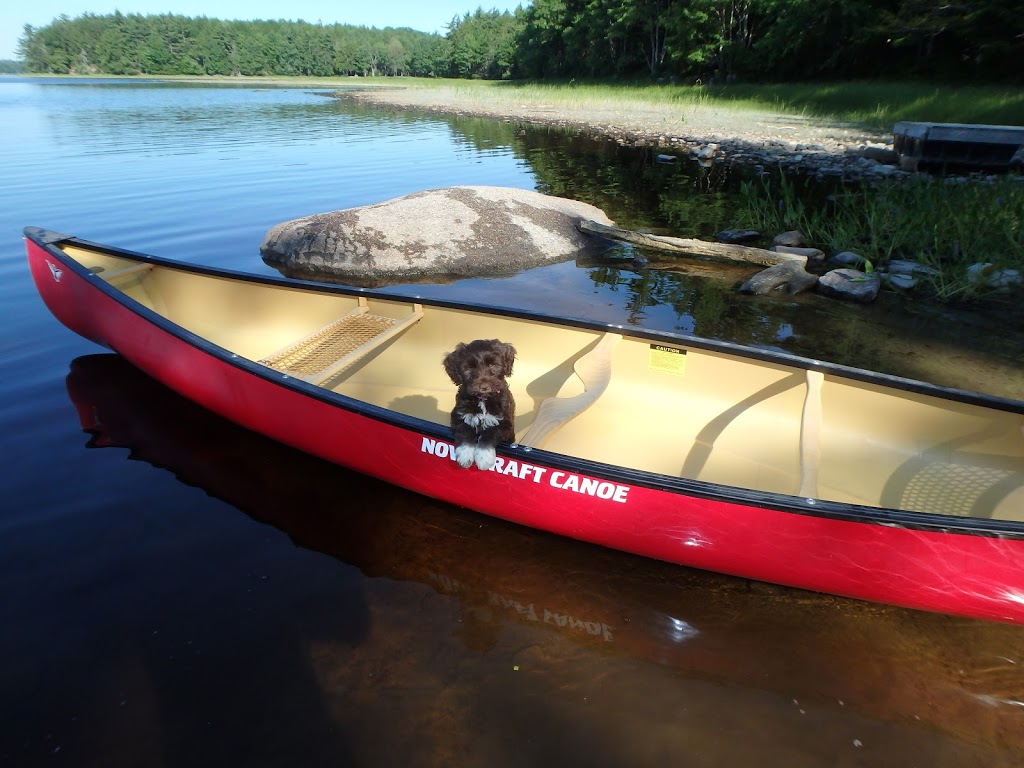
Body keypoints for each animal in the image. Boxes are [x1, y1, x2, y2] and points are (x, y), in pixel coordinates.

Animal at [442, 342, 516, 473]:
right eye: (469, 368)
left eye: (493, 364)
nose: (484, 386)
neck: (483, 399)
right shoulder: (459, 415)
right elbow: (465, 431)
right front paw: (465, 456)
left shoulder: (504, 423)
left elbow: (490, 434)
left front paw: (483, 458)